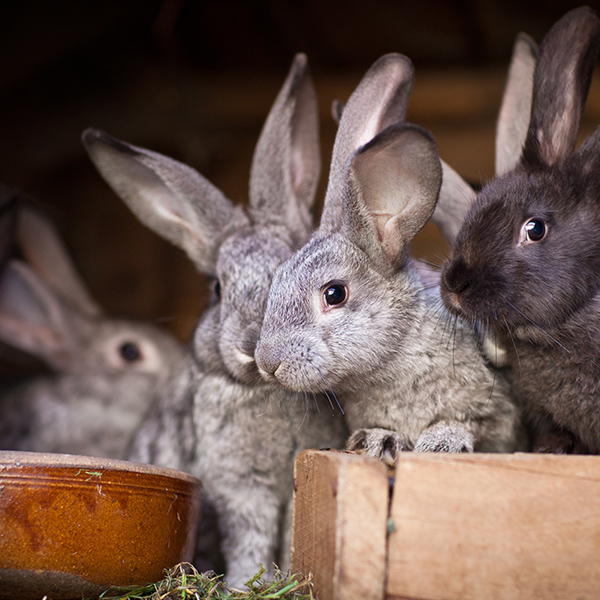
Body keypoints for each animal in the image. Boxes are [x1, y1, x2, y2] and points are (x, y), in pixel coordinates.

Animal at [82, 54, 350, 588]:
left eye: (291, 268)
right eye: (217, 290)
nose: (252, 346)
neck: (266, 391)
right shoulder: (240, 488)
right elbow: (248, 537)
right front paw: (246, 582)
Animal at [252, 52, 520, 468]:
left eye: (334, 294)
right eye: (276, 279)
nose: (268, 363)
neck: (393, 357)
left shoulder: (496, 412)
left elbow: (470, 422)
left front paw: (441, 442)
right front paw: (378, 440)